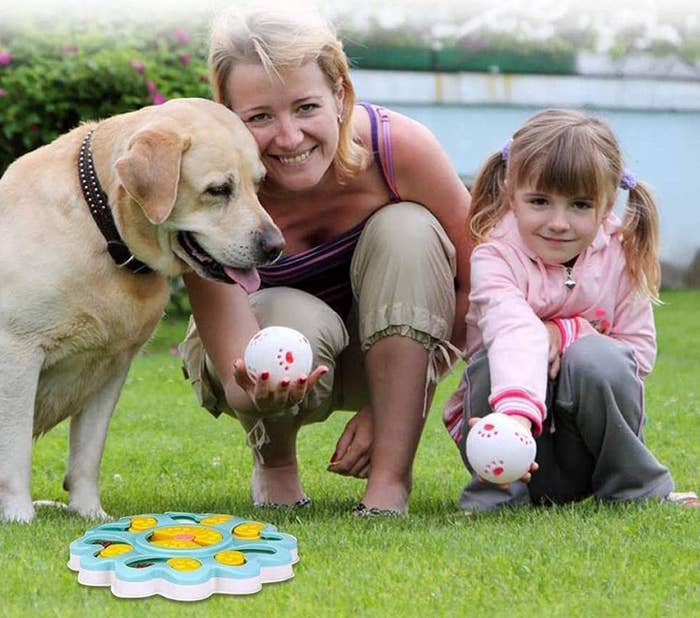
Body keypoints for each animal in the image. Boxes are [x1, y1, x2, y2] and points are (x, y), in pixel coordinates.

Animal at [0, 97, 284, 520]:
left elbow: (87, 455)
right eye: (219, 190)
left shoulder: (111, 368)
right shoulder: (17, 354)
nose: (275, 245)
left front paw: (90, 513)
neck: (102, 230)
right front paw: (20, 515)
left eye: (259, 184)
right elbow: (16, 452)